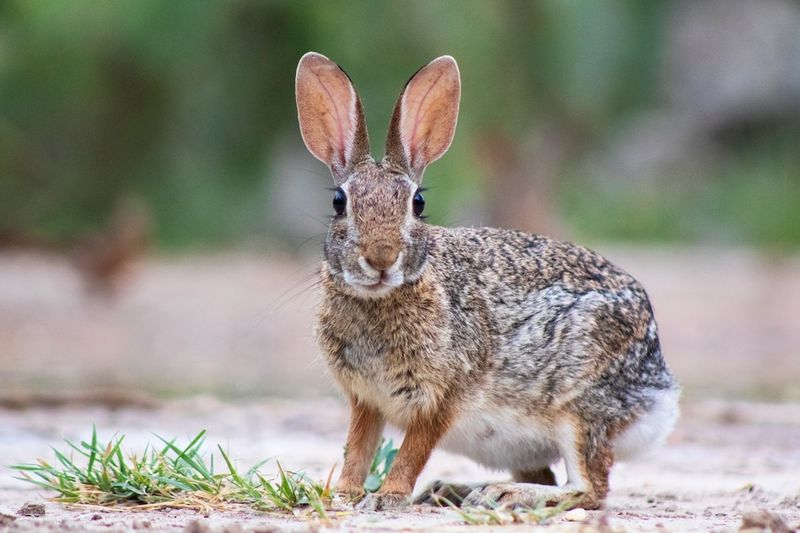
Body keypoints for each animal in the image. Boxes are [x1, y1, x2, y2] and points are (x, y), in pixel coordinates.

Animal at [295, 52, 679, 512]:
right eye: (339, 202)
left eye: (417, 203)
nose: (381, 258)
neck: (384, 297)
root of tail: (660, 390)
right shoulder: (366, 400)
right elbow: (358, 446)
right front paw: (345, 494)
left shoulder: (442, 397)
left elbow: (412, 451)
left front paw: (388, 498)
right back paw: (454, 490)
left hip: (579, 406)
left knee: (589, 489)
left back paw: (503, 493)